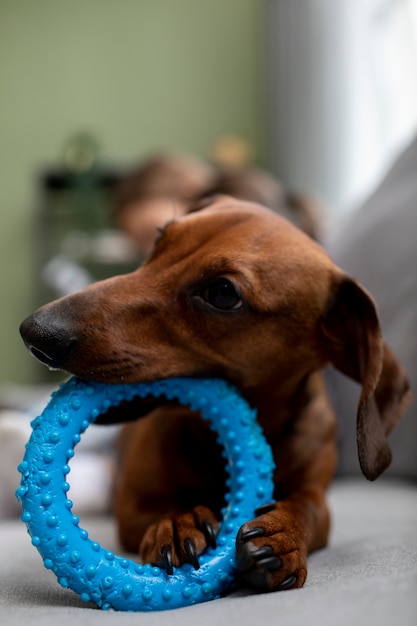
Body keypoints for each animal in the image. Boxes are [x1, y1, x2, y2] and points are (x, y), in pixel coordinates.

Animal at [19, 197, 410, 592]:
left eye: (222, 293)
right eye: (159, 239)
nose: (35, 333)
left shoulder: (318, 495)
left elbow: (309, 508)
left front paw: (284, 533)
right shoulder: (131, 506)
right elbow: (159, 508)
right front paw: (180, 520)